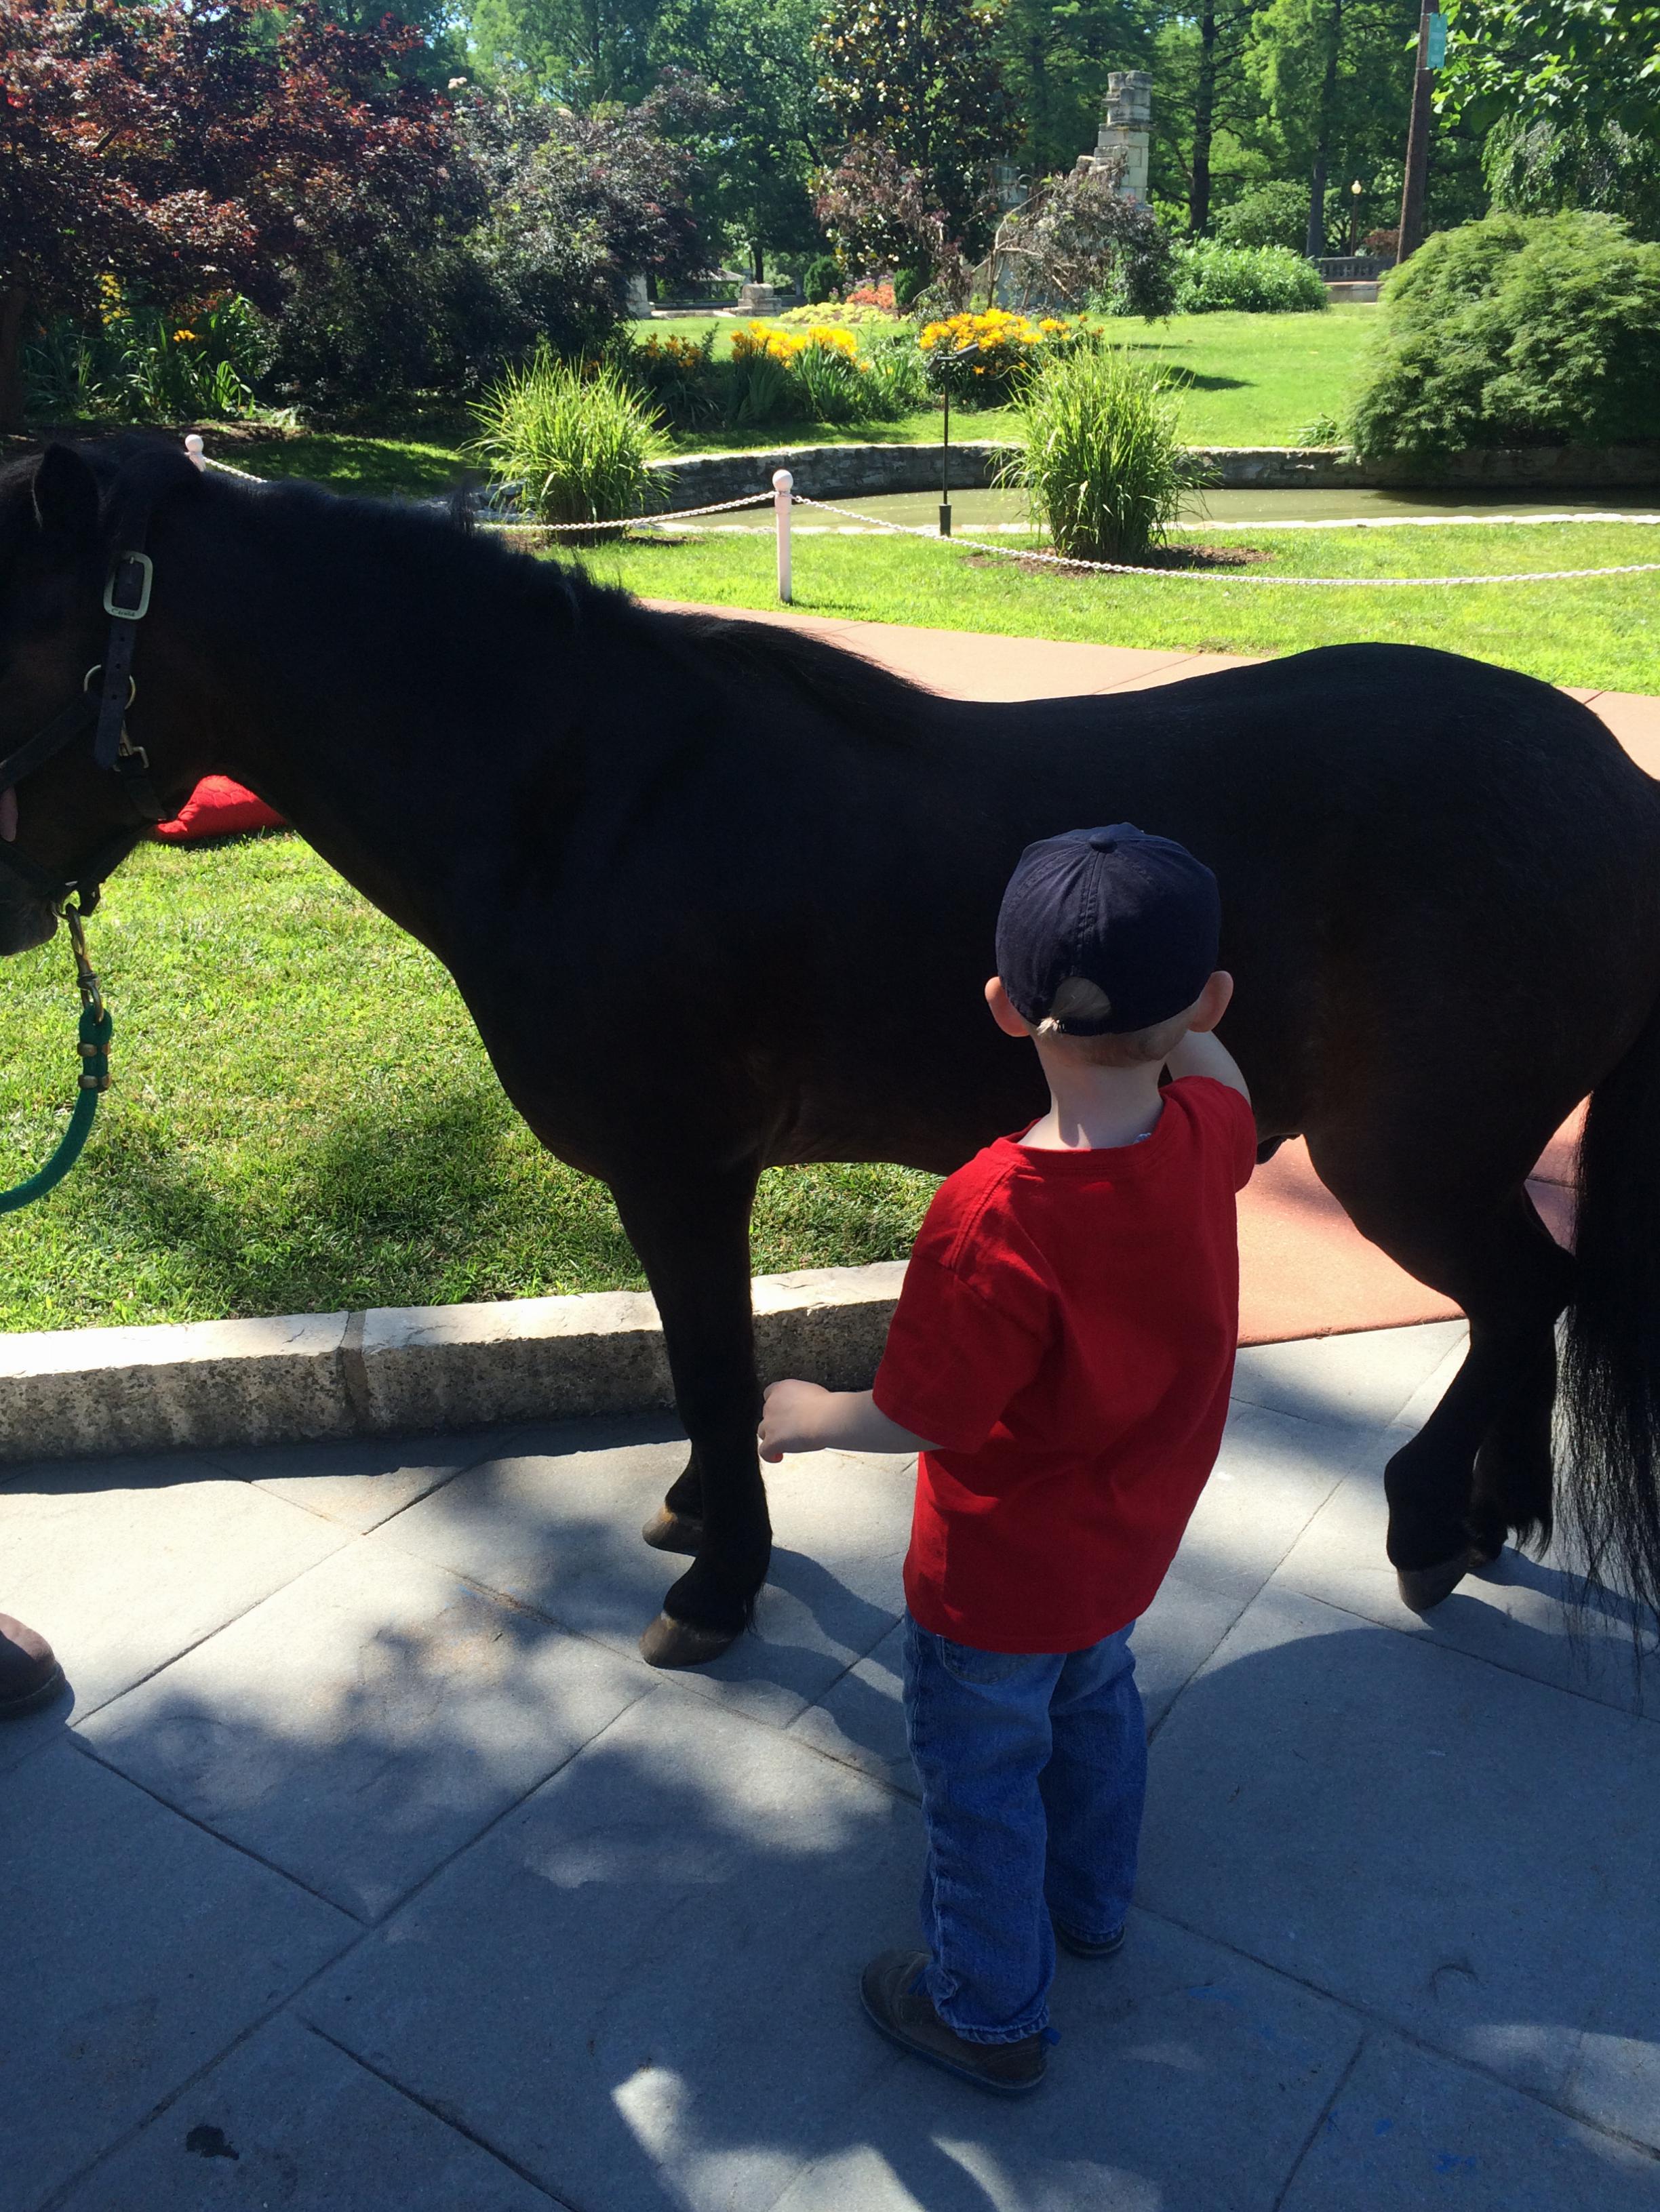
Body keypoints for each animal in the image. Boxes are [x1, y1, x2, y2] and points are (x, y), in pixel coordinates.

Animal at [3, 438, 1658, 1670]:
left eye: (21, 629)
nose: (4, 899)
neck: (582, 800)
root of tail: (1611, 781)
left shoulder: (681, 1169)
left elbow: (713, 1363)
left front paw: (718, 1579)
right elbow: (707, 1368)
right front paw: (695, 1513)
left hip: (1409, 1156)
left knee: (1519, 1293)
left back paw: (1430, 1520)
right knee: (1528, 1297)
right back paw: (1492, 1510)